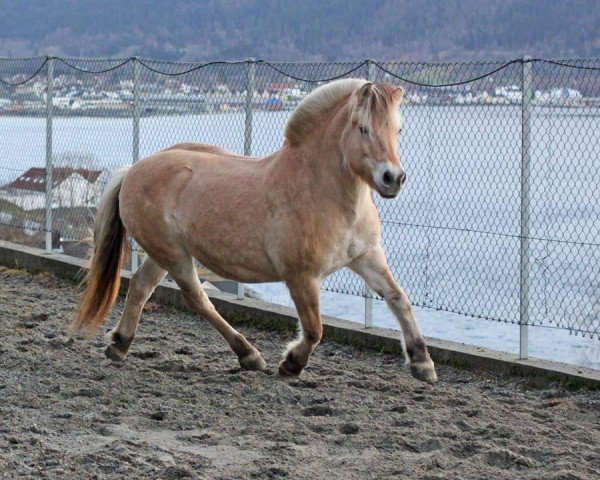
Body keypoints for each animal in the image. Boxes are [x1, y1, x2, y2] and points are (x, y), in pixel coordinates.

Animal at [72, 79, 438, 386]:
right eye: (363, 128)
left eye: (398, 129)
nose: (393, 178)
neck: (325, 195)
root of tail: (135, 169)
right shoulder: (302, 277)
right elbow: (314, 329)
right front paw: (291, 364)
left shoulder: (367, 257)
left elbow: (399, 299)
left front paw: (423, 364)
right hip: (173, 255)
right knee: (198, 299)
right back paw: (249, 355)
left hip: (164, 253)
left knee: (141, 287)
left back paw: (119, 345)